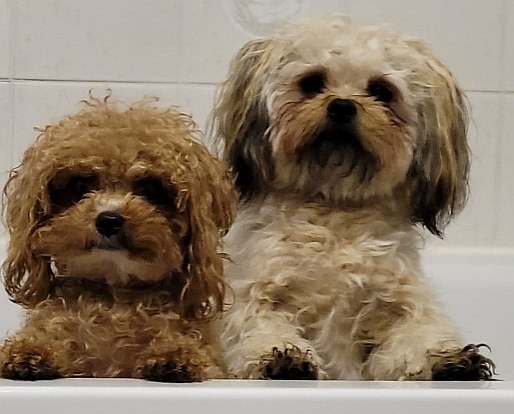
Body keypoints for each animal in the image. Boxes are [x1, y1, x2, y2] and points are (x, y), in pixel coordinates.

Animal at [0, 96, 236, 382]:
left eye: (150, 188)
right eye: (80, 185)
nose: (109, 220)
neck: (113, 296)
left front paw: (175, 354)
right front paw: (30, 351)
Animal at [210, 15, 495, 380]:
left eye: (382, 91)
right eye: (312, 82)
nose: (342, 105)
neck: (334, 206)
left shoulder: (398, 303)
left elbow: (415, 334)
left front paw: (445, 359)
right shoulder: (253, 294)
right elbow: (256, 327)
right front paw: (282, 358)